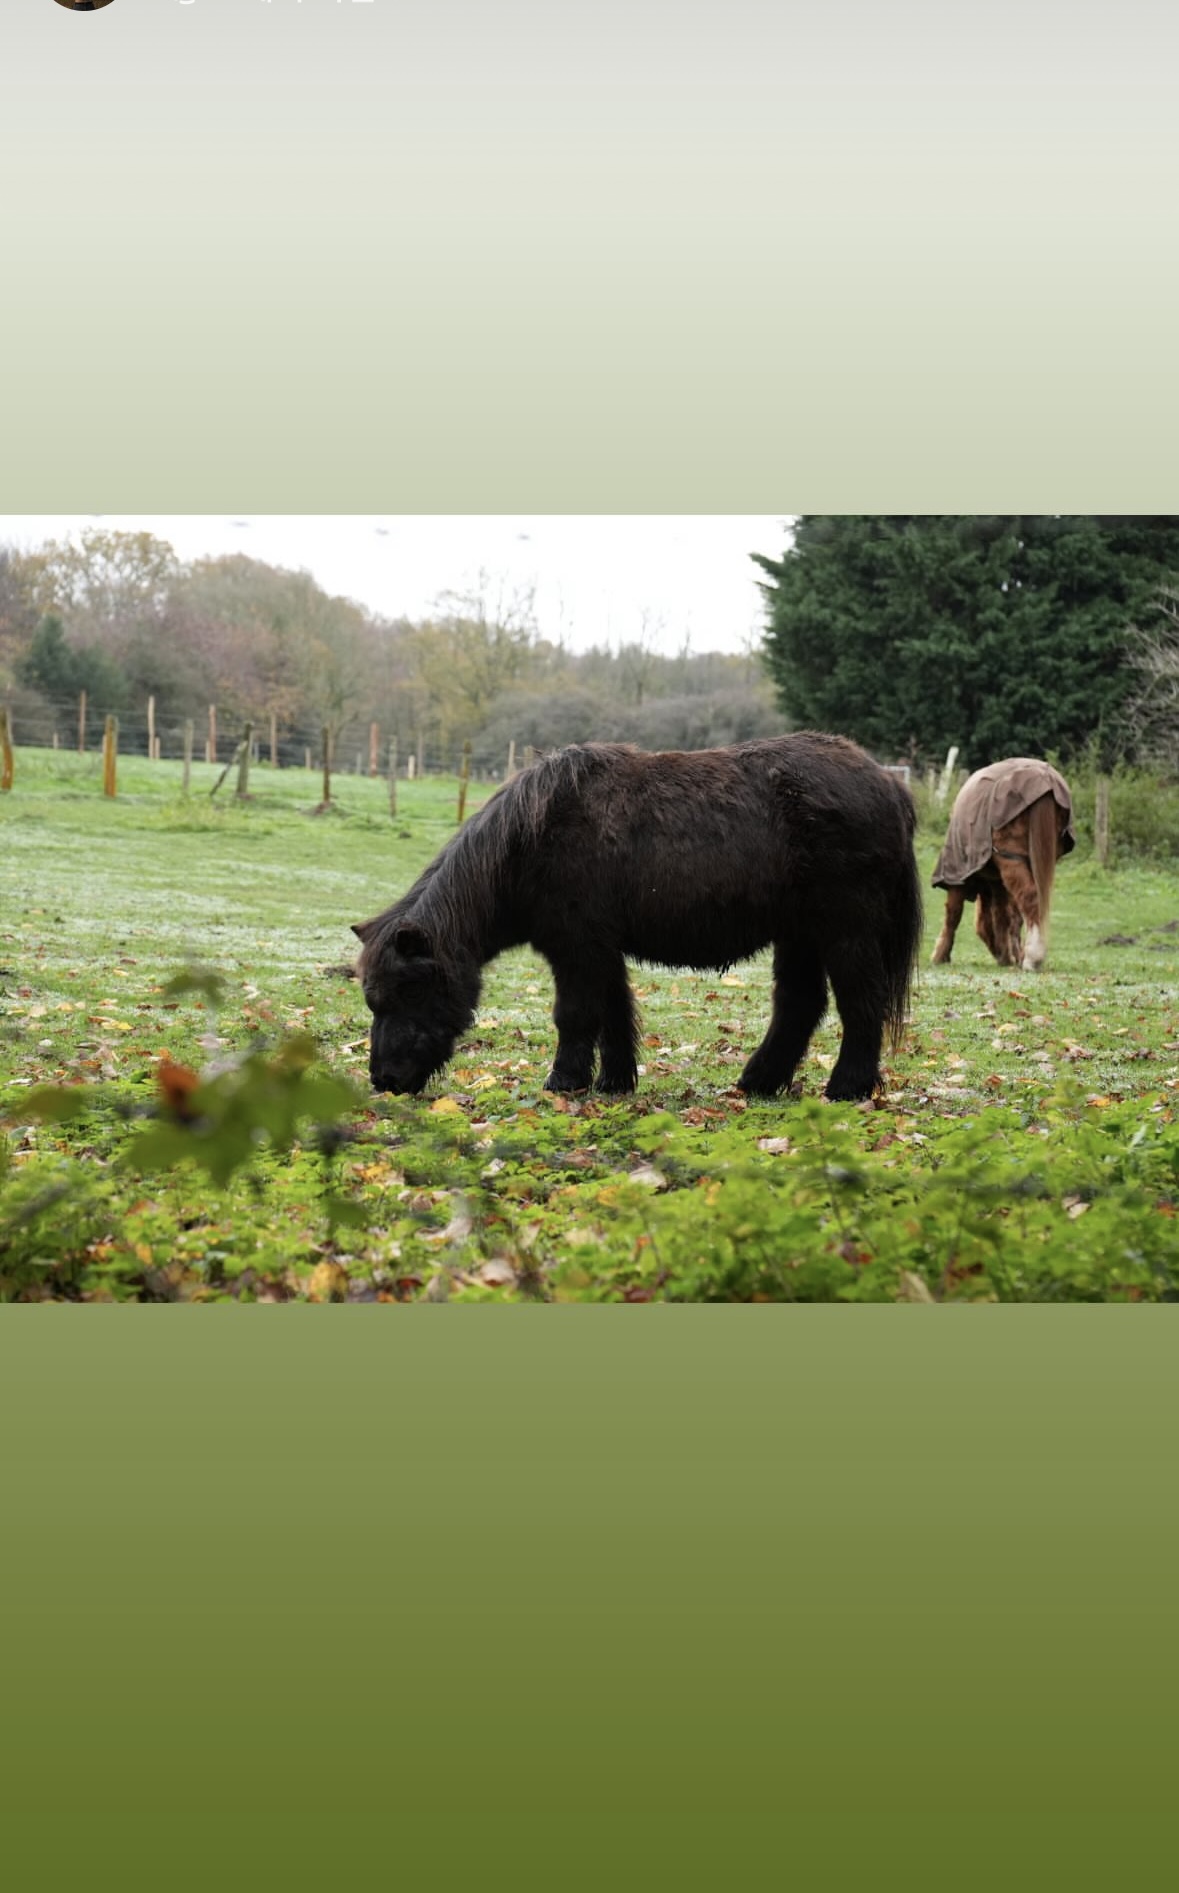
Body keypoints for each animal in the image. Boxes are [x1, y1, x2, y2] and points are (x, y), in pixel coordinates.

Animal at [351, 733, 922, 1103]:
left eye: (409, 992)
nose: (384, 1081)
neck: (528, 843)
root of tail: (889, 786)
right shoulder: (600, 950)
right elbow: (614, 1015)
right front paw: (614, 1083)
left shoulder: (577, 949)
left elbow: (576, 1015)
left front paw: (564, 1083)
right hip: (799, 934)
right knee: (800, 1006)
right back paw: (757, 1083)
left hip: (844, 931)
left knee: (859, 1004)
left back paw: (846, 1088)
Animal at [930, 758, 1075, 971]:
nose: (999, 955)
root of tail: (1043, 779)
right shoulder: (997, 883)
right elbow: (1003, 917)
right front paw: (1008, 955)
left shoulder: (958, 876)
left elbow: (953, 914)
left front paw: (940, 955)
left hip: (1011, 858)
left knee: (1031, 898)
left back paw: (1033, 958)